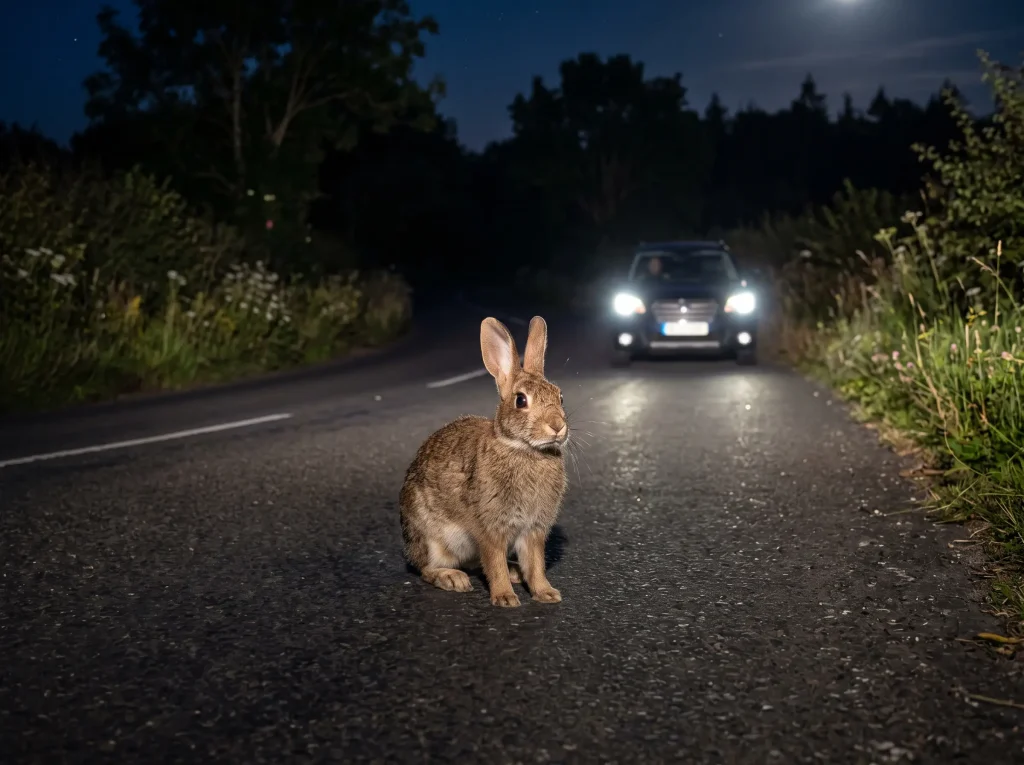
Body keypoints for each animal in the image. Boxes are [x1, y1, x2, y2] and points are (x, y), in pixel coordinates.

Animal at [400, 315, 569, 607]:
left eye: (559, 396)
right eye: (520, 400)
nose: (557, 426)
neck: (524, 449)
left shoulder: (533, 530)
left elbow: (535, 564)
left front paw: (546, 593)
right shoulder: (489, 526)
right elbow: (494, 561)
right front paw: (505, 598)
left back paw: (515, 572)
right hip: (431, 537)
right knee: (427, 568)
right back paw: (452, 578)